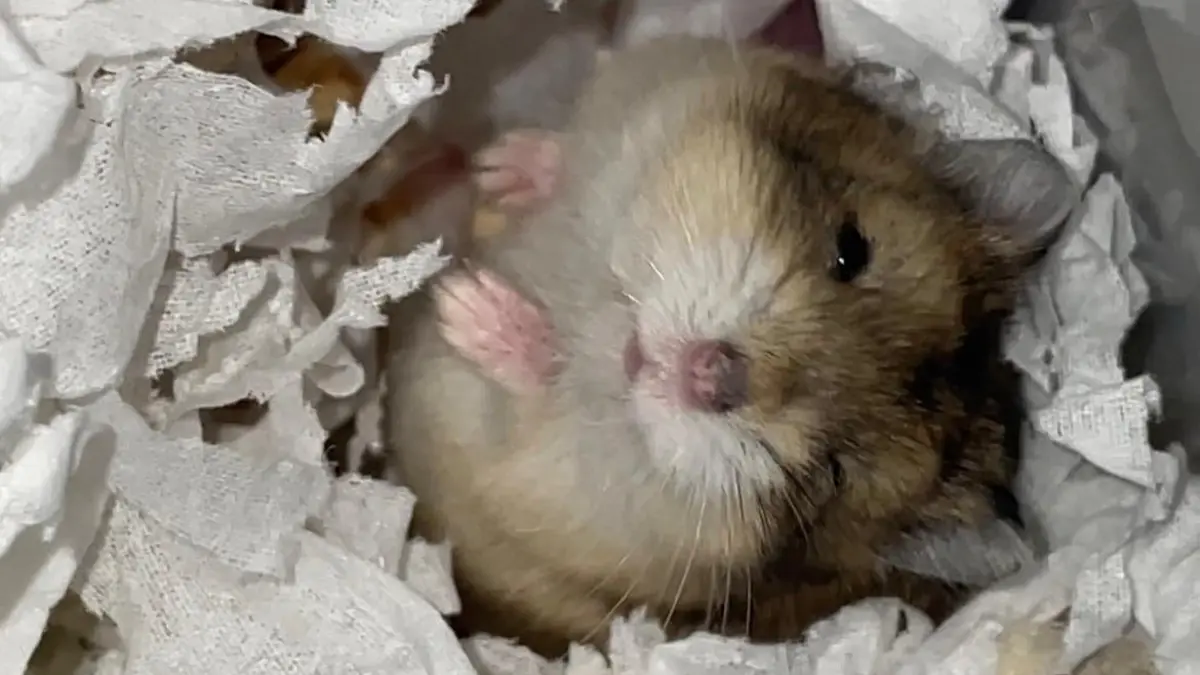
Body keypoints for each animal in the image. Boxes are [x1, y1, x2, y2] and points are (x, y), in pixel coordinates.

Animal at [385, 36, 1075, 657]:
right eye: (851, 250)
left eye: (831, 475)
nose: (709, 375)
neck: (606, 309)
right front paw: (501, 167)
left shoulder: (521, 466)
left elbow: (529, 395)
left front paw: (464, 301)